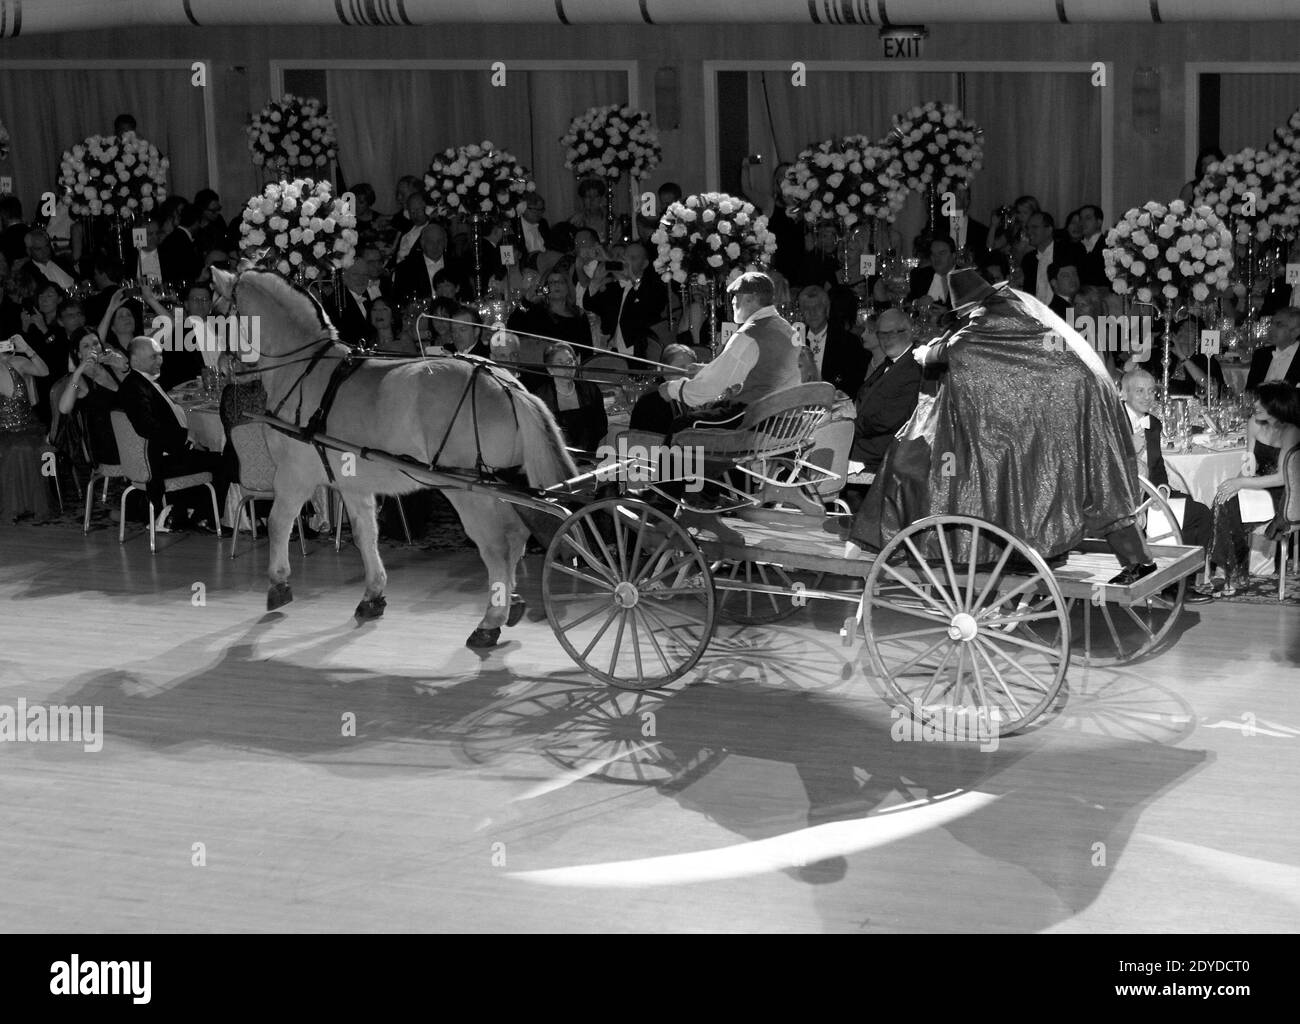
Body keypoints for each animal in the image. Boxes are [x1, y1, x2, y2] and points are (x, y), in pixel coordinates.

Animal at [210, 266, 577, 647]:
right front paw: (373, 594)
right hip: (498, 484)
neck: (305, 370)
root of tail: (506, 384)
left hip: (468, 492)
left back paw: (490, 621)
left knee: (496, 545)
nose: (219, 366)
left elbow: (279, 523)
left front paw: (279, 582)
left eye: (219, 314)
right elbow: (364, 534)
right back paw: (510, 601)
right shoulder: (352, 485)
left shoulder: (293, 476)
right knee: (515, 536)